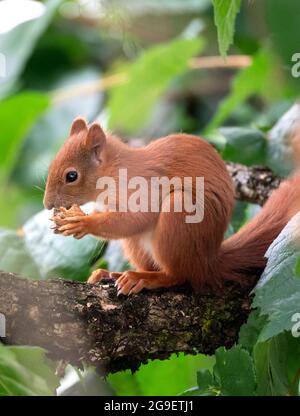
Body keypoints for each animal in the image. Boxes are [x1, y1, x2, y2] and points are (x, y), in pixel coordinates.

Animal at [44, 115, 300, 294]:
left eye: (71, 176)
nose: (47, 204)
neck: (114, 173)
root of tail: (208, 261)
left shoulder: (143, 188)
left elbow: (135, 218)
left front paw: (82, 222)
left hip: (180, 213)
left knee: (180, 275)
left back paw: (146, 278)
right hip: (137, 245)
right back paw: (115, 273)